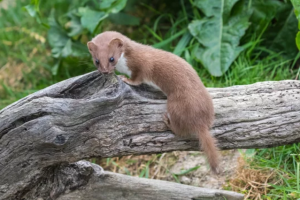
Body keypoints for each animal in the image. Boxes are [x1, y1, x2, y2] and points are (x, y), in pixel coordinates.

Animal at [86, 31, 220, 173]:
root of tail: (200, 122)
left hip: (175, 105)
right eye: (96, 61)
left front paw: (125, 79)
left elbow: (138, 78)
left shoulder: (141, 66)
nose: (105, 71)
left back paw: (167, 121)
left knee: (180, 130)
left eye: (111, 58)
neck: (125, 63)